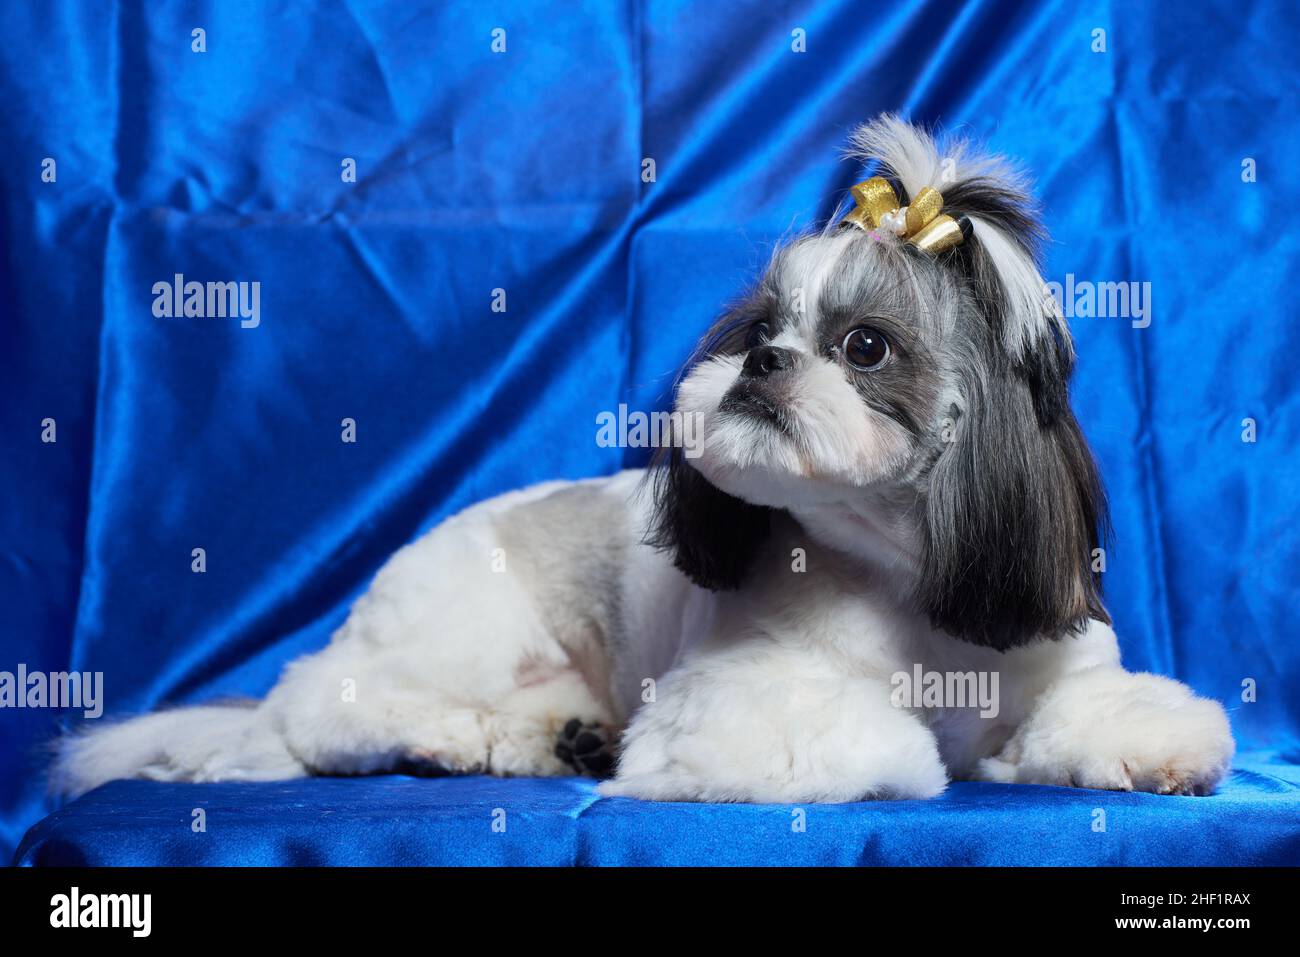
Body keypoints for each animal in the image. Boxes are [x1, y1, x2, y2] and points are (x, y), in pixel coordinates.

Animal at [61, 115, 1232, 806]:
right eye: (758, 326)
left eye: (865, 347)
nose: (763, 360)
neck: (906, 583)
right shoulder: (733, 706)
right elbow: (877, 742)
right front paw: (927, 756)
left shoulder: (1050, 651)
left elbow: (1089, 712)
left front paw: (1151, 751)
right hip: (456, 630)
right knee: (326, 704)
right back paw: (446, 741)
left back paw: (555, 741)